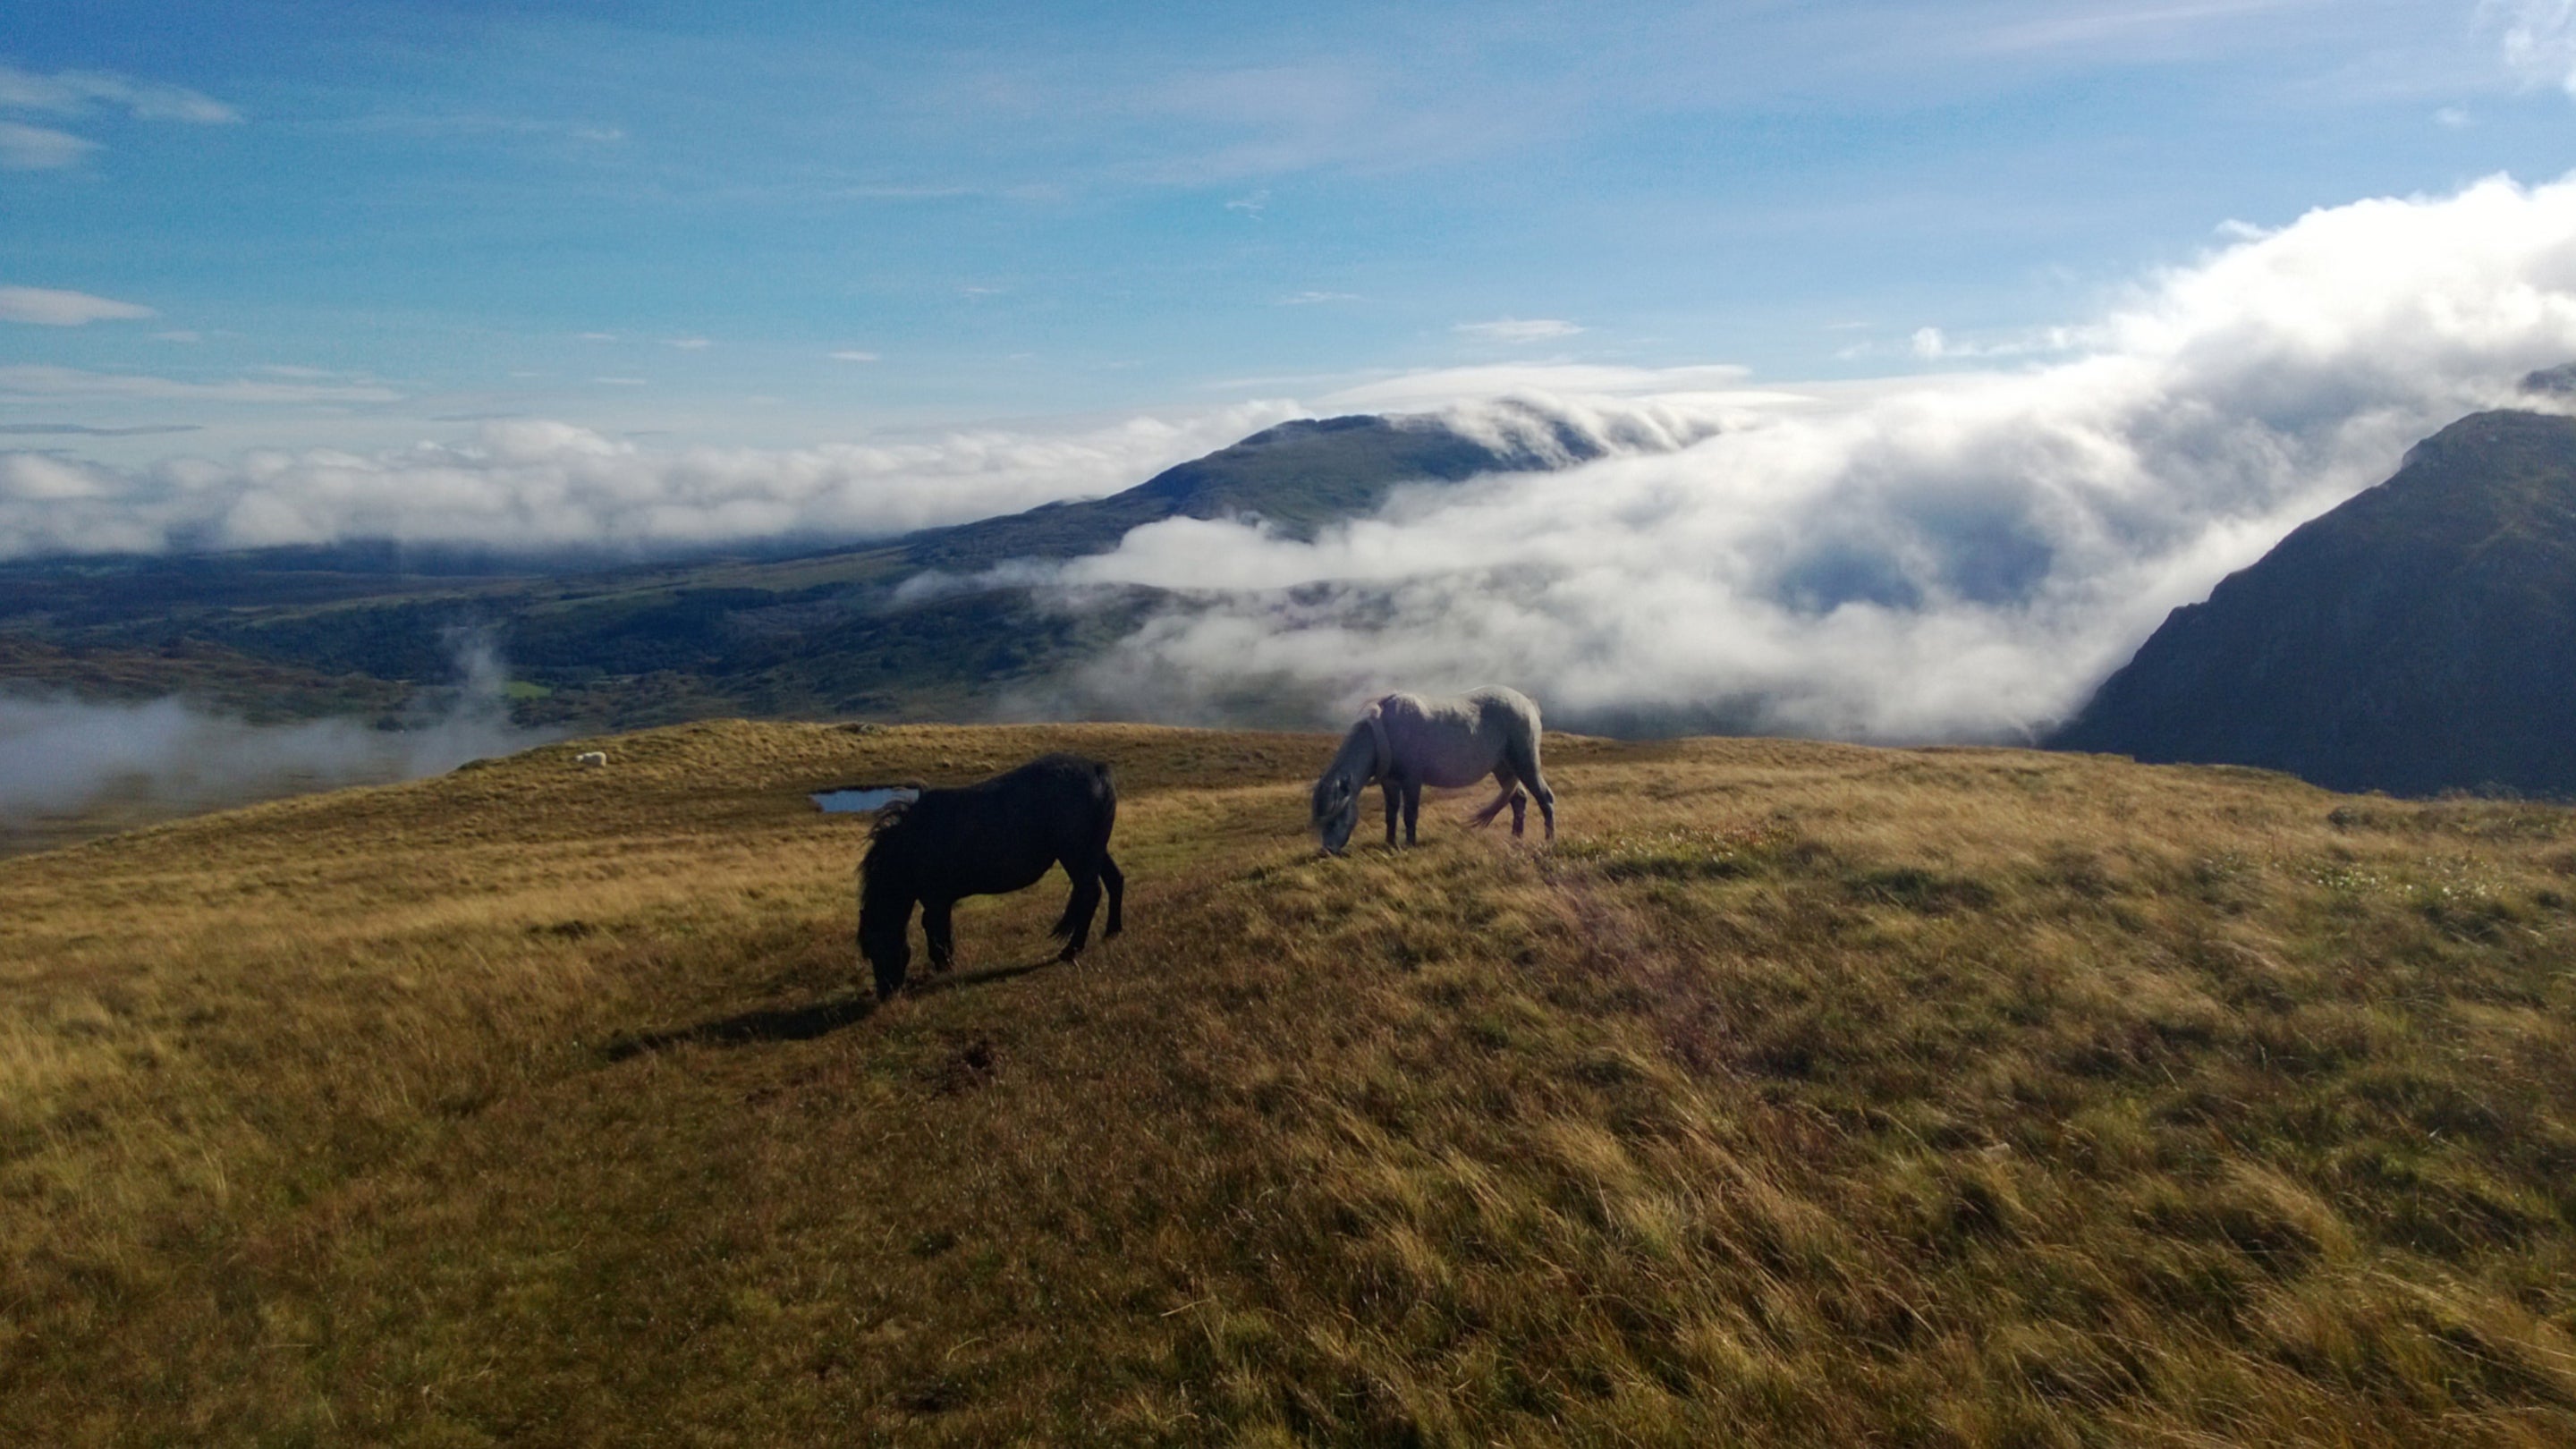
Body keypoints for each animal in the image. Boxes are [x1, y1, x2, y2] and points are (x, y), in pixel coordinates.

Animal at [858, 753, 1124, 999]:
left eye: (877, 946)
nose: (886, 994)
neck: (914, 841)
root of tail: (1095, 769)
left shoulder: (937, 900)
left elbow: (937, 930)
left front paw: (944, 966)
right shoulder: (938, 900)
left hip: (1076, 855)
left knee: (1090, 894)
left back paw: (1071, 950)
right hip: (1094, 852)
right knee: (1114, 881)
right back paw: (1112, 931)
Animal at [1310, 686, 1557, 855]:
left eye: (1335, 817)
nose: (1326, 852)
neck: (1385, 731)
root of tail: (1528, 704)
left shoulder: (1412, 780)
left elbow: (1410, 814)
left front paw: (1409, 845)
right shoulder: (1390, 782)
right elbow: (1391, 814)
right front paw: (1389, 843)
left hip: (1525, 764)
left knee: (1545, 798)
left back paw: (1549, 840)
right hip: (1504, 768)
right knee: (1519, 799)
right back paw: (1515, 838)